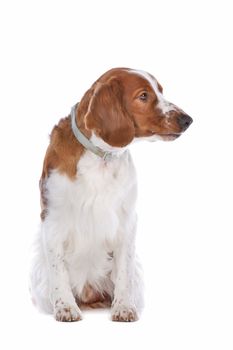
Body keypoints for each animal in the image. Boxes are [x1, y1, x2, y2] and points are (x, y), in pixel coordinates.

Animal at [29, 67, 193, 322]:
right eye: (143, 96)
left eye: (161, 91)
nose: (187, 120)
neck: (100, 158)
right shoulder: (53, 220)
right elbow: (58, 270)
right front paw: (65, 307)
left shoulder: (126, 221)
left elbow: (123, 271)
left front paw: (123, 307)